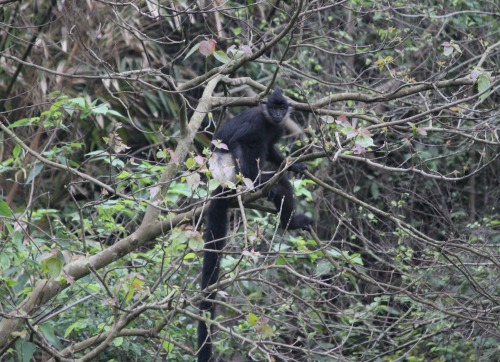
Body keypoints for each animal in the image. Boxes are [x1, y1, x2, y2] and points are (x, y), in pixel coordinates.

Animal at [196, 85, 310, 362]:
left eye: (282, 108)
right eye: (274, 107)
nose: (279, 114)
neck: (269, 122)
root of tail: (220, 181)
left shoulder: (276, 129)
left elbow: (271, 150)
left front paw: (295, 165)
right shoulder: (257, 123)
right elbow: (240, 142)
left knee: (281, 184)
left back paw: (289, 222)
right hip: (229, 170)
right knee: (248, 148)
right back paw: (255, 184)